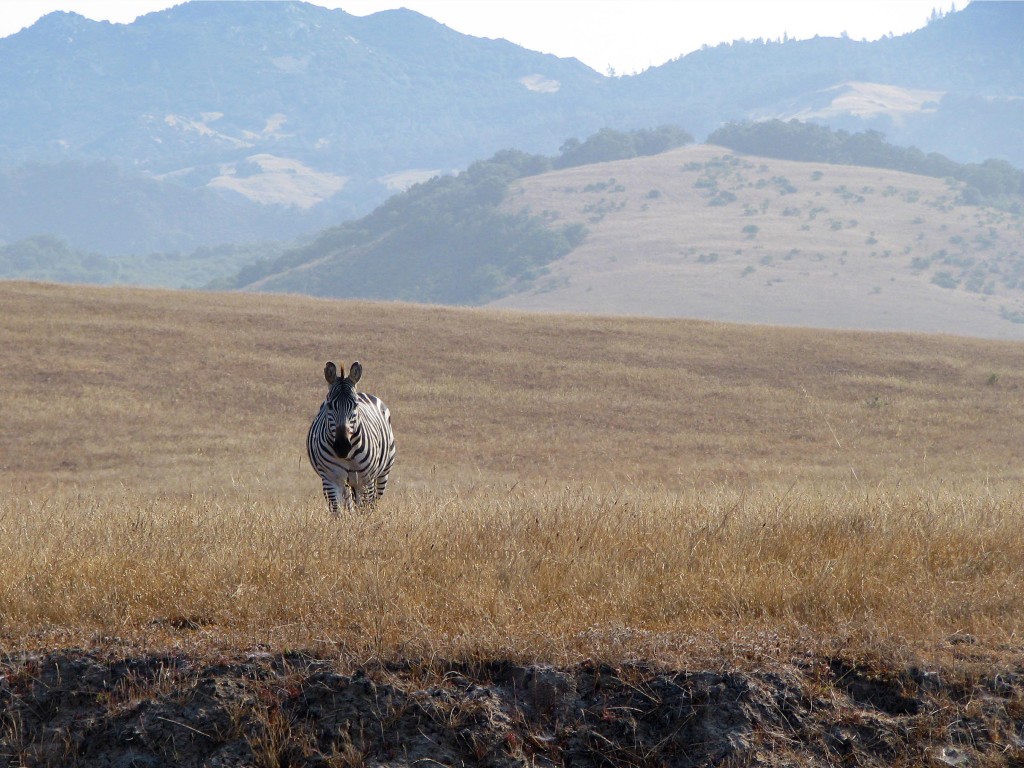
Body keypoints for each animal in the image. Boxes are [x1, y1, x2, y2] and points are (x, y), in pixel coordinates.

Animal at [303, 360, 395, 518]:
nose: (342, 447)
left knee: (373, 502)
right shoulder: (330, 479)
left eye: (356, 405)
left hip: (382, 474)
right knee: (349, 502)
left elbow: (364, 510)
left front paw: (363, 524)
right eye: (329, 405)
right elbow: (337, 512)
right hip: (345, 481)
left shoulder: (365, 480)